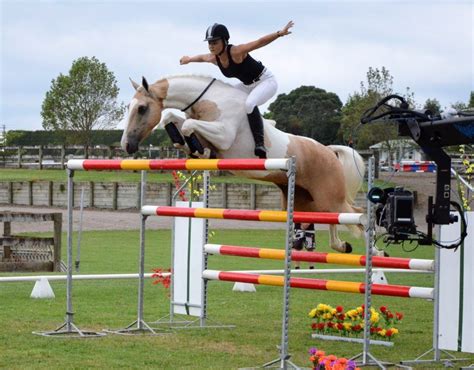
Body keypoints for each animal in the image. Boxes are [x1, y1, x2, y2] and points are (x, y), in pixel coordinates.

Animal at [120, 75, 364, 254]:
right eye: (130, 107)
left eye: (142, 108)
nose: (127, 145)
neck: (209, 101)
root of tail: (329, 151)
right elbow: (173, 118)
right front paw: (196, 149)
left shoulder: (223, 136)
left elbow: (188, 125)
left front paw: (198, 149)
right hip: (306, 202)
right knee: (327, 220)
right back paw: (341, 245)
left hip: (330, 198)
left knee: (357, 216)